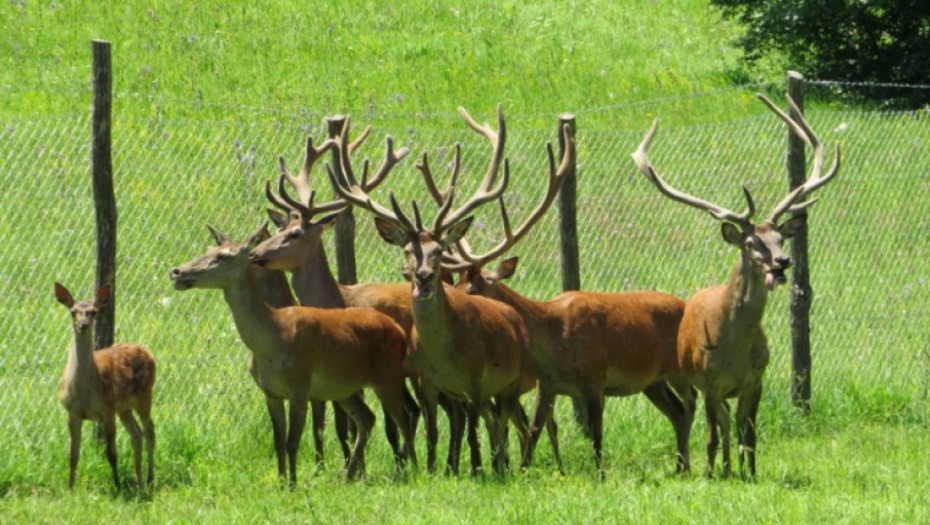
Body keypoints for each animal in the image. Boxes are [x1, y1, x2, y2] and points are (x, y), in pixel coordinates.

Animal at [53, 280, 156, 490]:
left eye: (93, 311)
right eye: (73, 311)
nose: (83, 325)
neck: (84, 392)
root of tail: (148, 352)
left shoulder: (107, 410)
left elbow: (112, 454)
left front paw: (117, 485)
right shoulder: (72, 412)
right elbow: (73, 455)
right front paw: (70, 488)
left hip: (144, 395)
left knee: (149, 430)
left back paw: (149, 478)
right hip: (124, 407)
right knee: (137, 433)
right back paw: (138, 479)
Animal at [169, 223, 416, 482]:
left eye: (223, 256)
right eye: (209, 249)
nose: (176, 271)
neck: (271, 341)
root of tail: (398, 330)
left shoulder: (300, 386)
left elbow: (292, 442)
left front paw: (293, 484)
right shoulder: (270, 392)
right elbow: (278, 442)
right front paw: (280, 481)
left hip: (387, 376)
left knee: (404, 418)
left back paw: (416, 470)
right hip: (343, 388)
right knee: (367, 418)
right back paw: (348, 475)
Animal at [328, 103, 528, 474]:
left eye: (437, 251)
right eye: (408, 249)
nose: (421, 276)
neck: (443, 353)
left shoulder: (475, 379)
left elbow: (473, 432)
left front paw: (474, 469)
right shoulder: (426, 382)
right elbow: (433, 431)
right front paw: (434, 469)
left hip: (510, 380)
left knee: (503, 422)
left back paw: (501, 466)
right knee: (495, 422)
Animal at [436, 125, 696, 472]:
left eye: (474, 290)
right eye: (458, 287)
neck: (552, 341)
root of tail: (686, 305)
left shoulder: (595, 378)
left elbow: (597, 439)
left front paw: (600, 475)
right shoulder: (547, 386)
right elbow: (533, 434)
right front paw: (523, 471)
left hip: (679, 368)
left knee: (690, 406)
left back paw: (687, 465)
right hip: (653, 381)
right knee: (678, 413)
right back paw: (681, 466)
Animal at [632, 92, 840, 476]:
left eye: (780, 239)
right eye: (750, 243)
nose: (782, 262)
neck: (733, 352)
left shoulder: (756, 380)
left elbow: (751, 435)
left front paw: (751, 474)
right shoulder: (710, 382)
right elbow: (714, 436)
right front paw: (714, 474)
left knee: (733, 426)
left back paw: (734, 468)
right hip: (688, 378)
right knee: (710, 424)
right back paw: (717, 469)